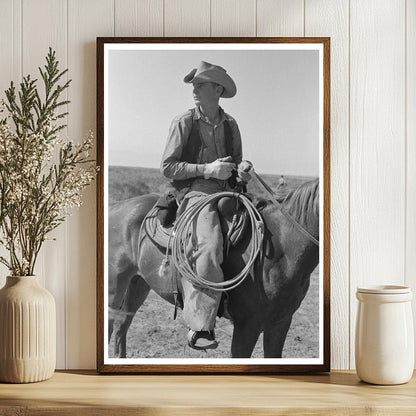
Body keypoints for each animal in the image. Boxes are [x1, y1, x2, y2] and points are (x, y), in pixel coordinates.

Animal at [106, 178, 318, 358]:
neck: (282, 245)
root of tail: (115, 206)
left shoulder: (280, 323)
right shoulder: (247, 325)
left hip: (138, 284)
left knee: (121, 324)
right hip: (114, 288)